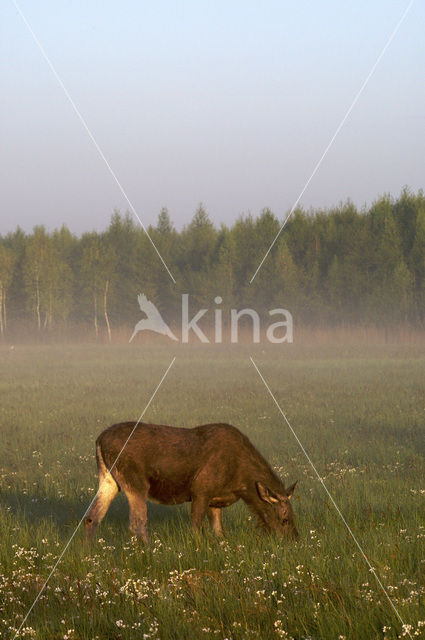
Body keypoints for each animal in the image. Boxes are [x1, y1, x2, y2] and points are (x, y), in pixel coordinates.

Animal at [84, 422, 298, 544]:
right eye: (285, 519)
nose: (294, 541)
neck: (241, 484)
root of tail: (99, 440)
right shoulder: (201, 489)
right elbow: (195, 527)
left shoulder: (215, 500)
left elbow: (219, 532)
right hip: (136, 481)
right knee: (137, 523)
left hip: (109, 479)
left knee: (92, 517)